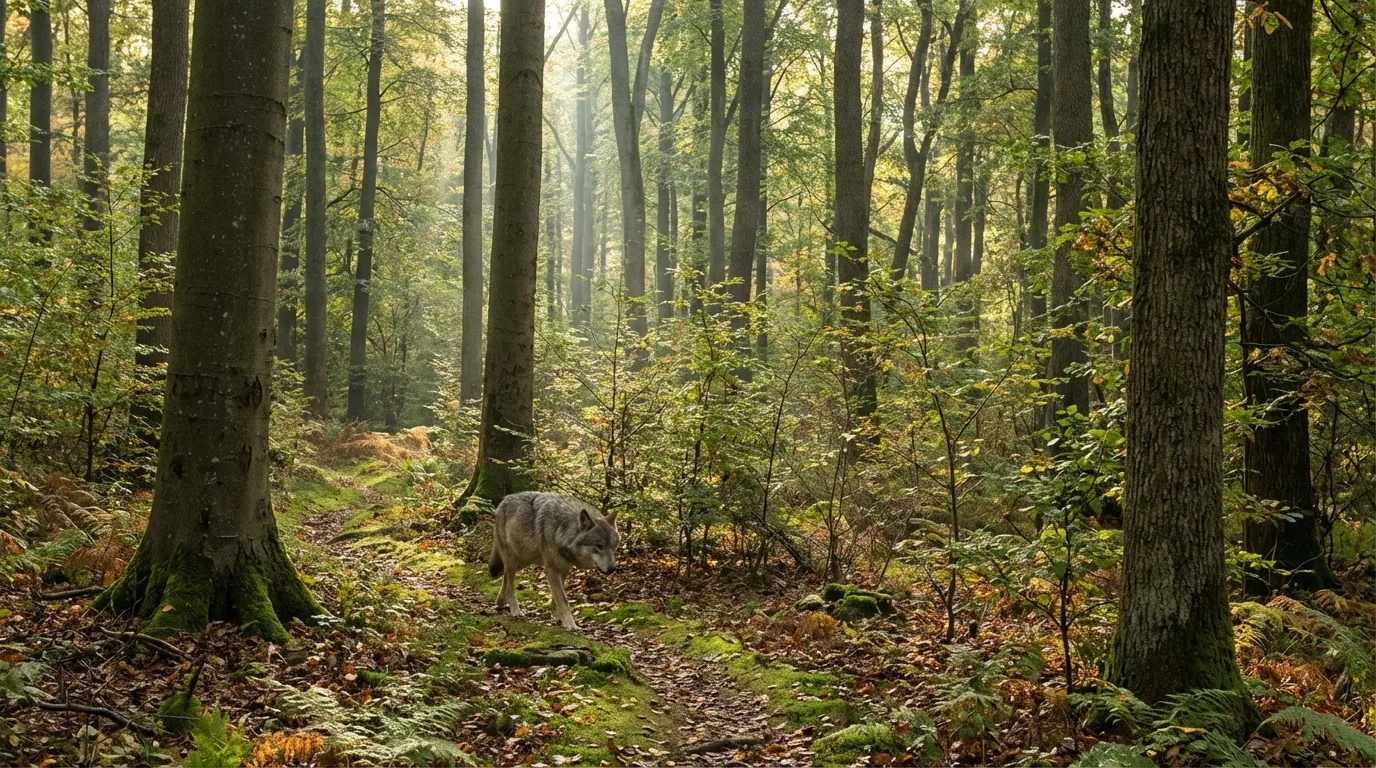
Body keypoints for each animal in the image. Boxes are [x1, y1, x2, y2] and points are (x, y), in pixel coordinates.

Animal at [487, 491, 620, 630]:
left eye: (614, 546)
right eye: (599, 546)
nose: (612, 569)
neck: (562, 530)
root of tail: (505, 499)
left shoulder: (564, 570)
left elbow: (557, 599)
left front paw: (558, 618)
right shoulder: (551, 570)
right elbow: (563, 599)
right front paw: (571, 625)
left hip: (524, 561)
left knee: (505, 575)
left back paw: (500, 601)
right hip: (513, 560)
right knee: (510, 583)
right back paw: (515, 610)